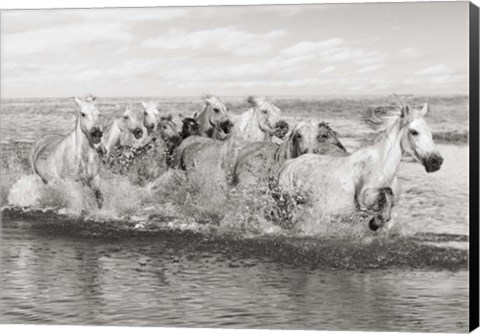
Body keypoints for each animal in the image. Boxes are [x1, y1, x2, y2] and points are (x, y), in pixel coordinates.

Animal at [276, 103, 444, 231]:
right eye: (414, 132)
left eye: (430, 132)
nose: (436, 161)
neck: (383, 168)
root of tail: (289, 165)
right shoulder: (364, 197)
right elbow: (387, 192)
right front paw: (375, 222)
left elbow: (389, 202)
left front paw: (377, 221)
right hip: (288, 206)